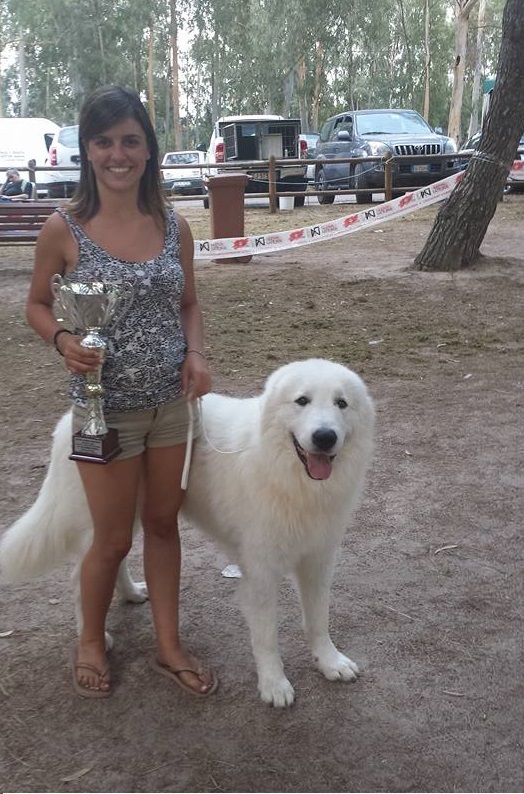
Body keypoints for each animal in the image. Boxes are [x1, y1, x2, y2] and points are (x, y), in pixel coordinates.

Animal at [0, 358, 374, 707]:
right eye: (302, 401)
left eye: (341, 403)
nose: (325, 437)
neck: (291, 477)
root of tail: (71, 420)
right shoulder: (261, 572)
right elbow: (267, 636)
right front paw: (274, 684)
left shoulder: (318, 561)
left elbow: (319, 619)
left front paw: (329, 662)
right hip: (102, 519)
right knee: (82, 576)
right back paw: (94, 638)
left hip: (129, 515)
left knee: (115, 558)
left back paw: (132, 593)